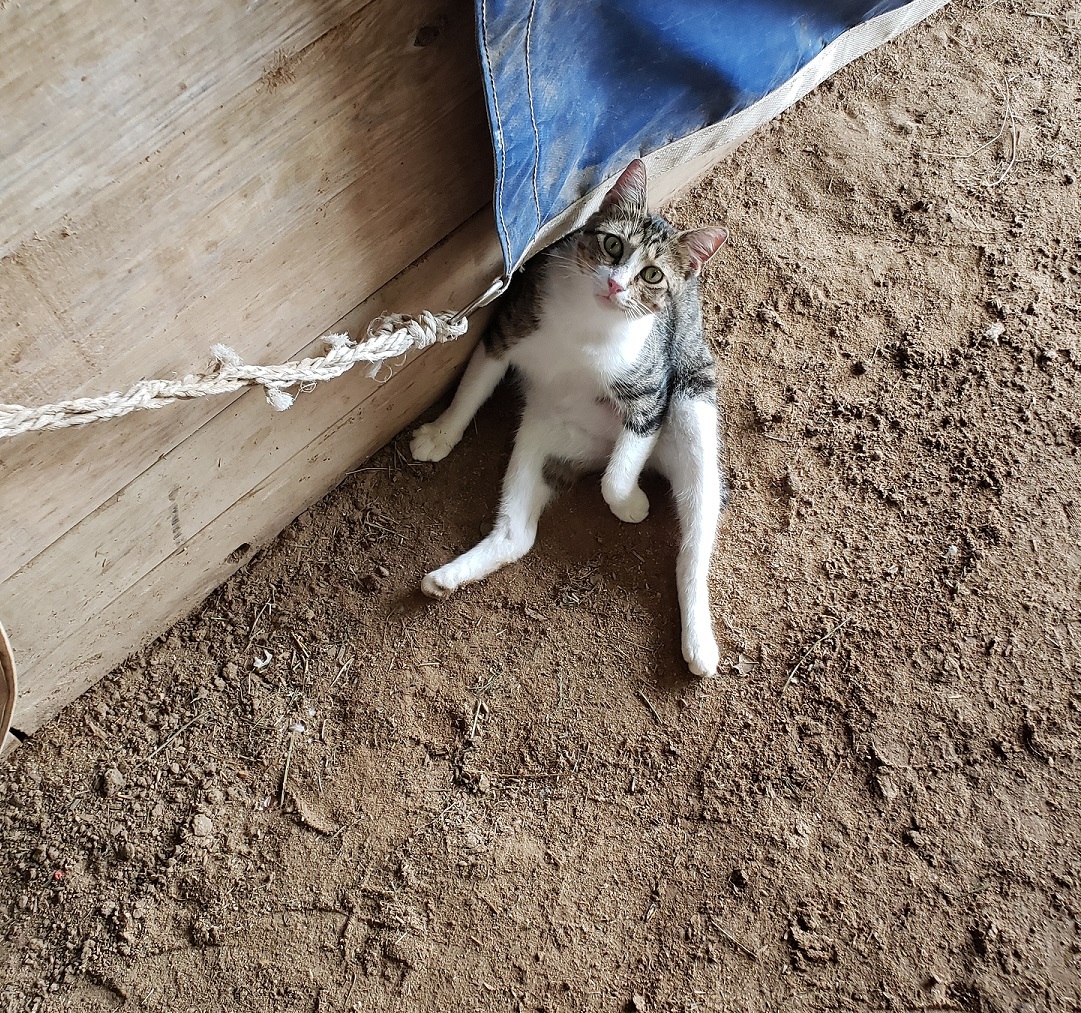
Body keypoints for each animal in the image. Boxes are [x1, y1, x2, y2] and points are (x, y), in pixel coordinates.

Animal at [408, 160, 730, 670]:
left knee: (692, 549)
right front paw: (440, 434)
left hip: (693, 412)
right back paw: (447, 578)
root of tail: (593, 454)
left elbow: (616, 477)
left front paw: (631, 503)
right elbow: (471, 389)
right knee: (518, 534)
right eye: (613, 245)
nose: (615, 285)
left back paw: (699, 644)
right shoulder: (507, 330)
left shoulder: (651, 397)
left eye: (652, 275)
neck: (587, 327)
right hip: (539, 433)